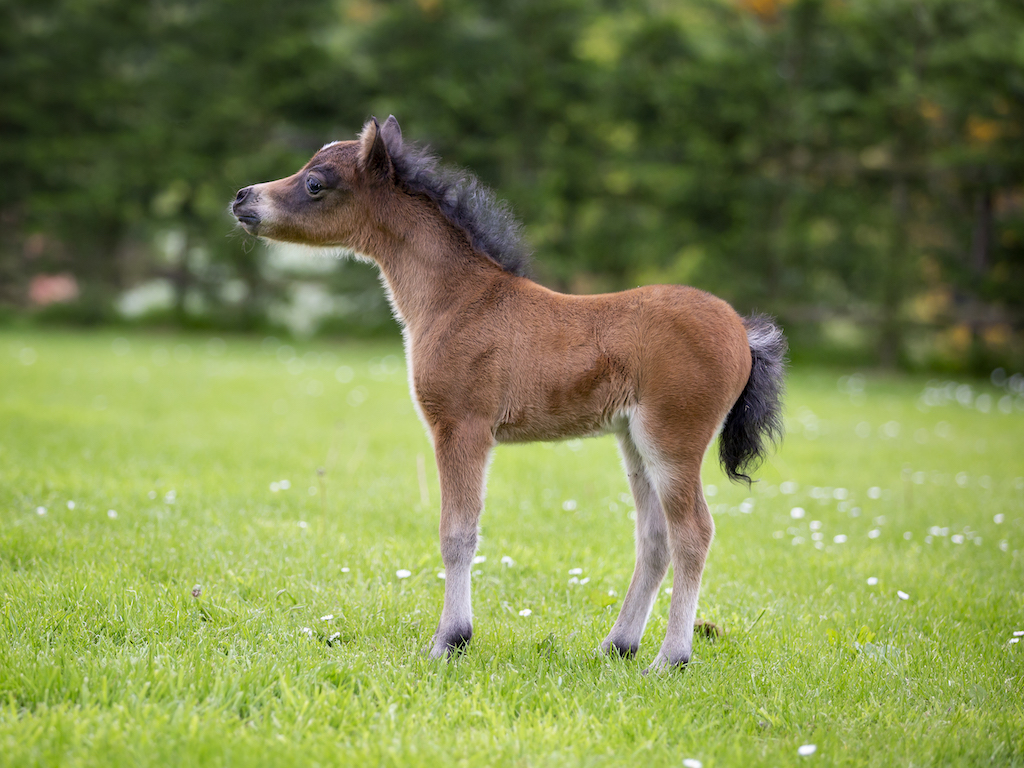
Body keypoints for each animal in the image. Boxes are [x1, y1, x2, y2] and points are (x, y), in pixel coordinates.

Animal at [231, 116, 786, 671]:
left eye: (314, 183)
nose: (242, 198)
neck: (457, 300)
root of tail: (743, 332)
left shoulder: (461, 427)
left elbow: (457, 534)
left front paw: (449, 640)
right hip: (635, 440)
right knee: (654, 539)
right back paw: (617, 645)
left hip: (673, 438)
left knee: (693, 532)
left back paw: (670, 658)